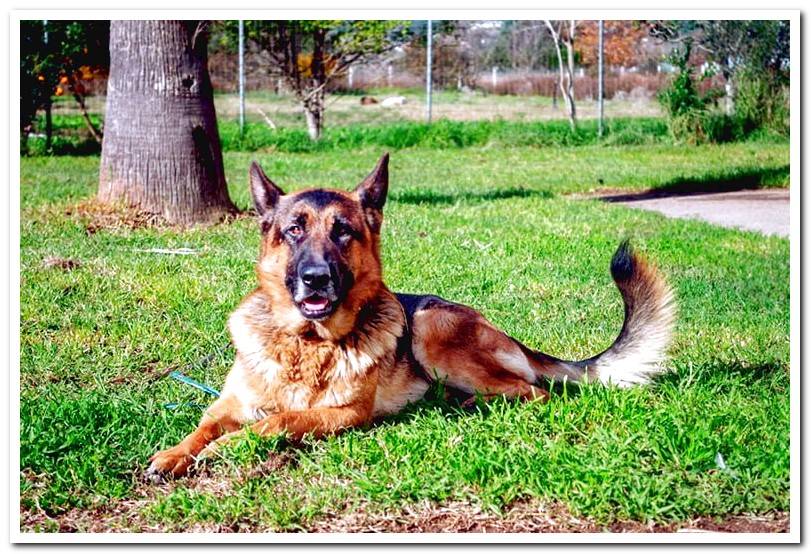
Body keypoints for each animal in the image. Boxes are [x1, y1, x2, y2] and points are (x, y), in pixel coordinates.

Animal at [147, 152, 680, 478]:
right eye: (294, 230)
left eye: (343, 232)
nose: (316, 279)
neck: (307, 343)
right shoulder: (227, 404)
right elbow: (203, 427)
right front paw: (175, 454)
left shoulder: (343, 413)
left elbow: (275, 423)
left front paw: (225, 449)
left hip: (430, 327)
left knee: (534, 391)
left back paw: (470, 403)